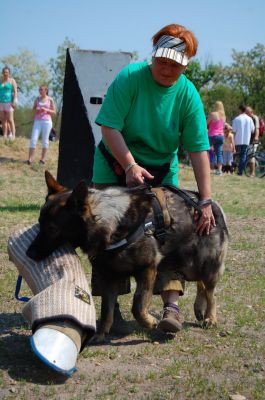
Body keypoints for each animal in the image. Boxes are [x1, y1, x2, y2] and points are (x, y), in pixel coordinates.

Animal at [27, 172, 229, 340]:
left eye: (52, 229)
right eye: (40, 222)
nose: (29, 254)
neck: (110, 223)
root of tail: (212, 205)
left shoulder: (147, 270)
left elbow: (138, 306)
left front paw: (149, 322)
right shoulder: (109, 277)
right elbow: (107, 310)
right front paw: (100, 335)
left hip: (205, 266)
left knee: (211, 292)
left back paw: (210, 317)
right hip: (186, 265)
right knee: (201, 285)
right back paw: (199, 308)